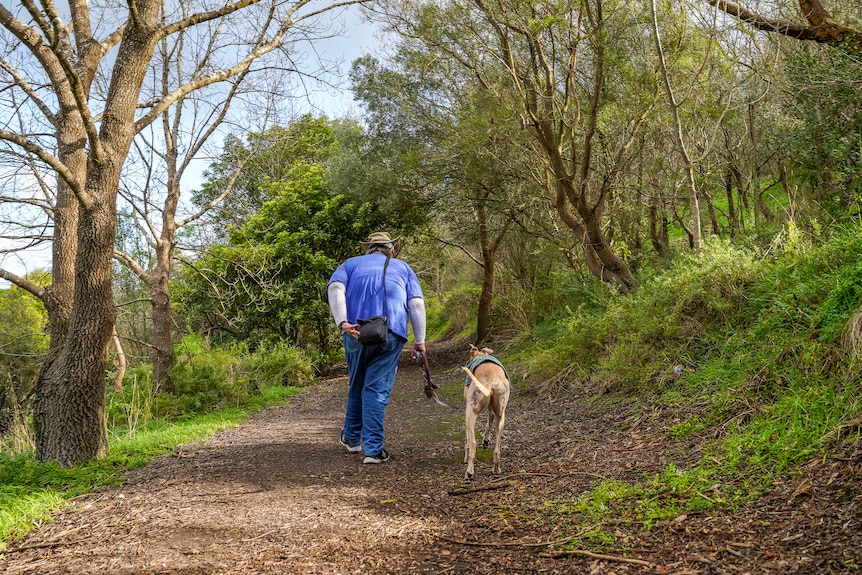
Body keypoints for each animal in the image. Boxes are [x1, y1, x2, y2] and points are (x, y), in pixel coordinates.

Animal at [462, 346, 510, 482]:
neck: (480, 355)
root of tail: (492, 376)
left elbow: (467, 440)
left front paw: (465, 458)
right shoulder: (492, 411)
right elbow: (488, 425)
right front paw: (486, 441)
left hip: (470, 412)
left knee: (472, 444)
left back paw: (469, 472)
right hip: (501, 416)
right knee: (497, 450)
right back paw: (496, 469)